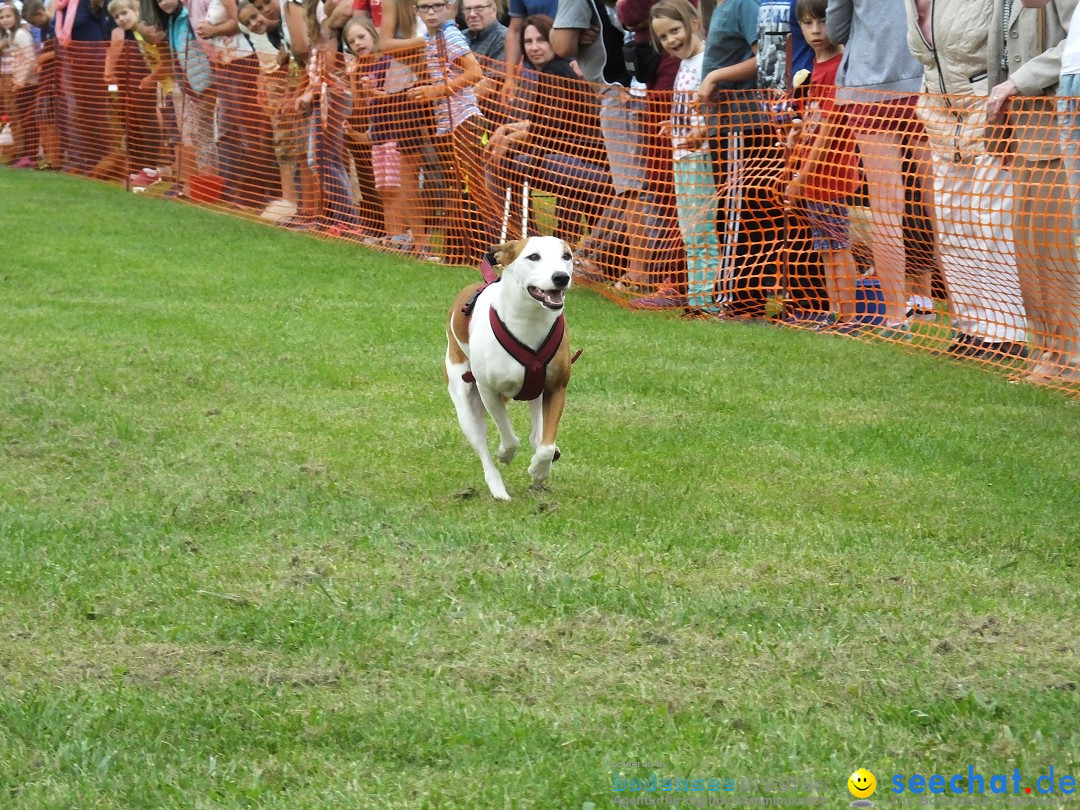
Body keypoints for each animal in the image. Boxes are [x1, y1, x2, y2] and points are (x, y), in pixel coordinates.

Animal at [442, 234, 578, 501]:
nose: (561, 277)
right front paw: (506, 453)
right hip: (464, 403)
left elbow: (547, 445)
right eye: (533, 256)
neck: (529, 318)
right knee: (481, 445)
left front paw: (539, 469)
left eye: (566, 256)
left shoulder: (556, 387)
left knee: (538, 435)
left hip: (537, 392)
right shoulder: (488, 391)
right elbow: (509, 437)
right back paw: (498, 489)